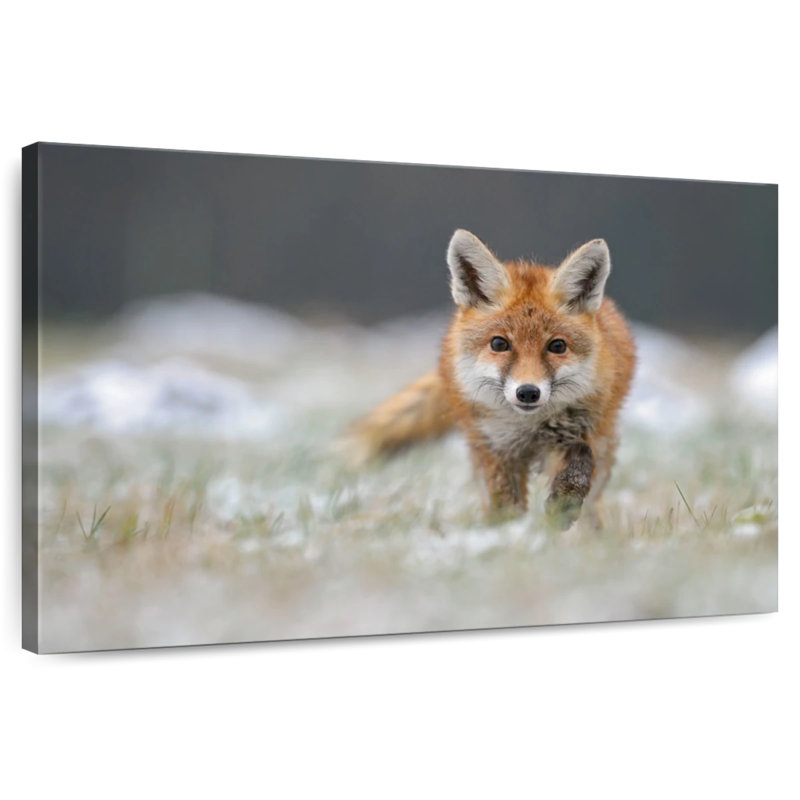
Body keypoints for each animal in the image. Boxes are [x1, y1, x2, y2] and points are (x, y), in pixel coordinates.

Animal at [349, 230, 636, 529]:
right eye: (499, 343)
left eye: (557, 346)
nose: (528, 392)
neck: (529, 428)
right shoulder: (496, 447)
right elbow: (505, 504)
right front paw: (508, 533)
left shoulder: (581, 432)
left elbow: (580, 463)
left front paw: (562, 507)